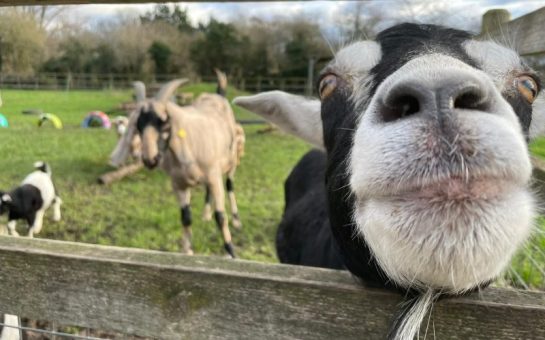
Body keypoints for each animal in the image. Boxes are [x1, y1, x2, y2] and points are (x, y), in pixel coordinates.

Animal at [109, 72, 243, 258]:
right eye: (139, 125)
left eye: (164, 121)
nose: (150, 159)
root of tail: (219, 94)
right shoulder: (179, 185)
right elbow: (186, 217)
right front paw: (187, 250)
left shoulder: (214, 178)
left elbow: (221, 216)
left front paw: (231, 252)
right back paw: (206, 215)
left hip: (231, 162)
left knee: (230, 185)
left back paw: (236, 221)